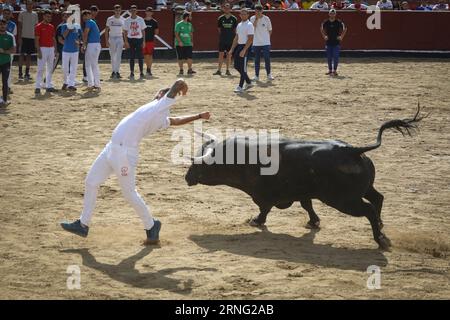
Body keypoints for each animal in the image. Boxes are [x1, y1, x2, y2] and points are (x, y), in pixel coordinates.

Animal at [185, 109, 426, 251]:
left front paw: (255, 221)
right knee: (378, 198)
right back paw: (382, 227)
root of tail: (352, 150)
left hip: (344, 200)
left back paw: (381, 239)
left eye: (198, 165)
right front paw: (313, 221)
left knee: (369, 210)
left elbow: (264, 209)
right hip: (364, 189)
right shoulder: (303, 192)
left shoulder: (264, 195)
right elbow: (307, 205)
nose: (186, 178)